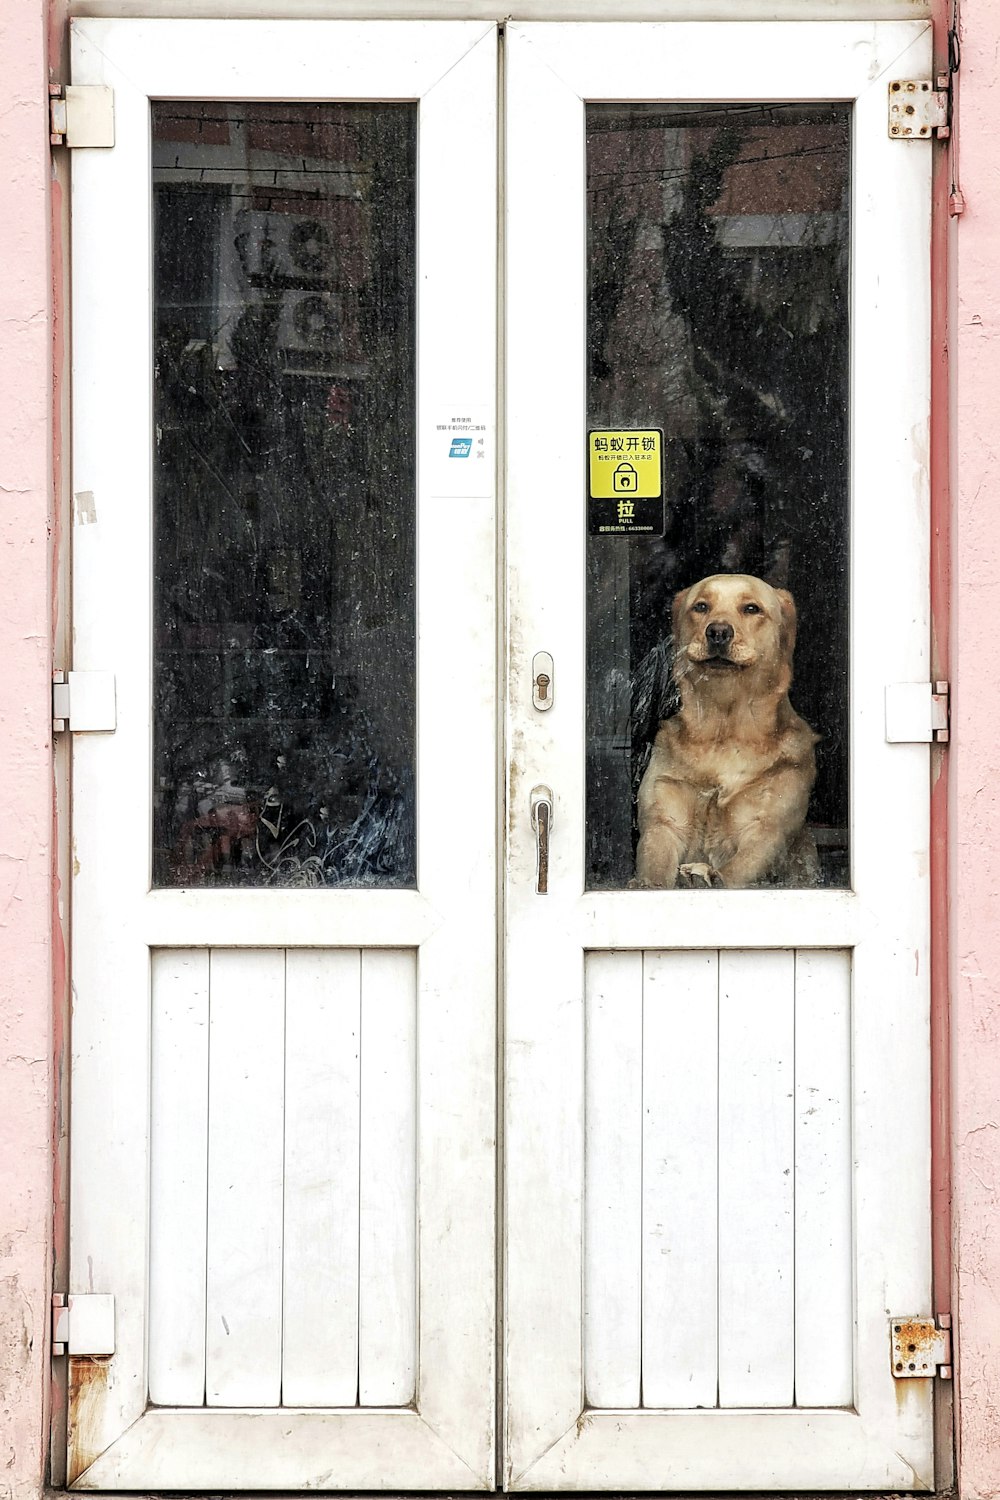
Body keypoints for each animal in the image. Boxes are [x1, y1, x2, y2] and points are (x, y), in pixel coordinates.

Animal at [632, 567, 821, 882]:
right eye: (701, 606)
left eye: (751, 608)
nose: (718, 632)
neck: (725, 730)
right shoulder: (663, 822)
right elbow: (654, 873)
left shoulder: (765, 830)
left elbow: (733, 874)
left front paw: (706, 877)